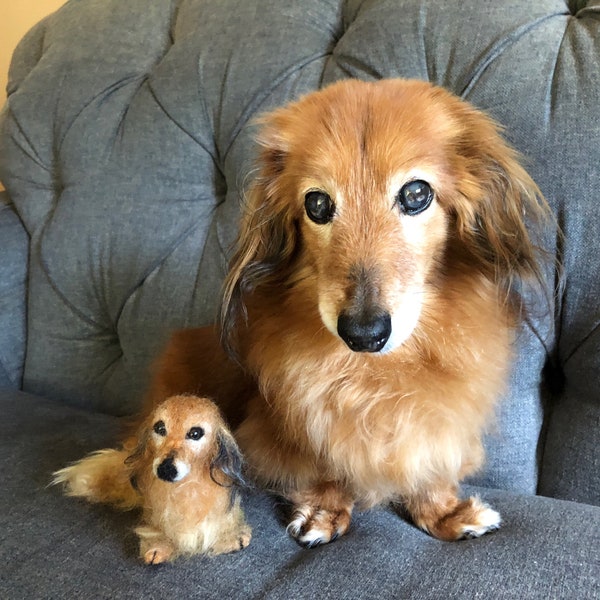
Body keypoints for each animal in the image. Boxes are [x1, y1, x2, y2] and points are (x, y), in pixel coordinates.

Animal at [55, 394, 251, 564]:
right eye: (160, 428)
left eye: (195, 433)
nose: (165, 469)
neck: (185, 487)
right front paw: (160, 545)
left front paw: (230, 536)